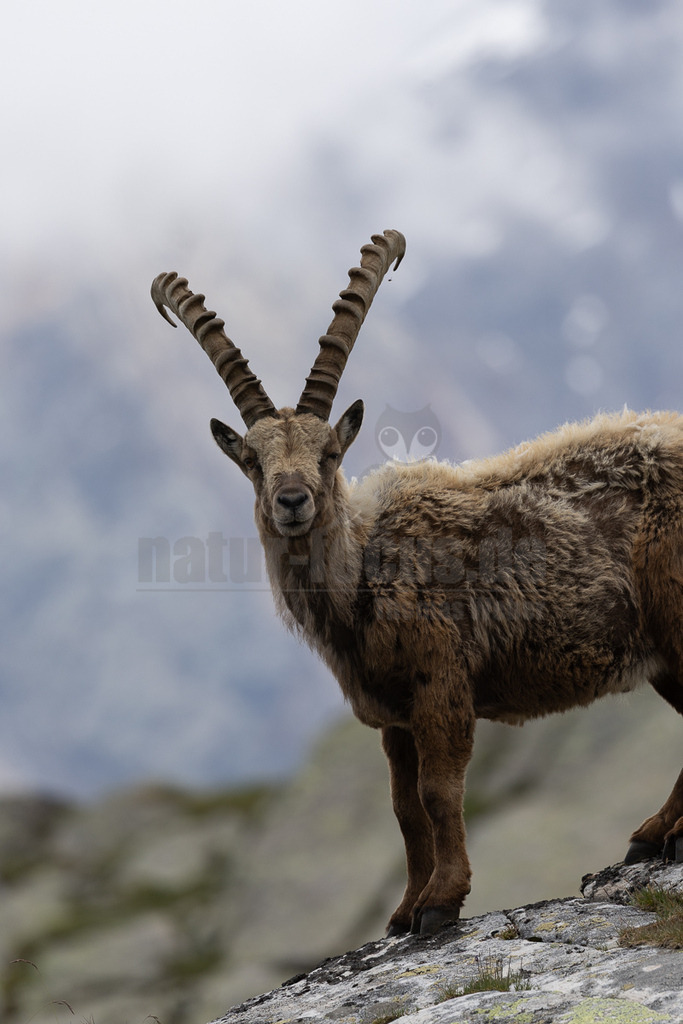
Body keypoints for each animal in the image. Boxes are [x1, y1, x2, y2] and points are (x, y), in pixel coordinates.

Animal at [152, 230, 683, 937]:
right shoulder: (393, 717)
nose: (292, 501)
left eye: (330, 453)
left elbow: (439, 792)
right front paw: (404, 910)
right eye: (252, 461)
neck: (364, 580)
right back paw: (655, 834)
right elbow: (404, 809)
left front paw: (441, 903)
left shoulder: (442, 684)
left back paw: (662, 833)